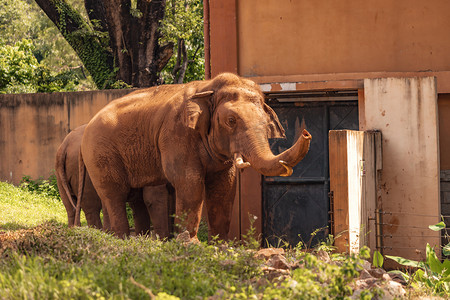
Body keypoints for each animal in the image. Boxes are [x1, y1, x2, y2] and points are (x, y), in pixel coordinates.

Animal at [81, 72, 312, 239]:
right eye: (231, 121)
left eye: (265, 123)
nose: (306, 133)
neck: (207, 88)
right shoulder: (177, 133)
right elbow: (189, 181)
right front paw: (190, 243)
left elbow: (224, 186)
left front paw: (221, 246)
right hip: (100, 152)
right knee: (114, 194)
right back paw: (121, 239)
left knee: (124, 197)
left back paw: (121, 238)